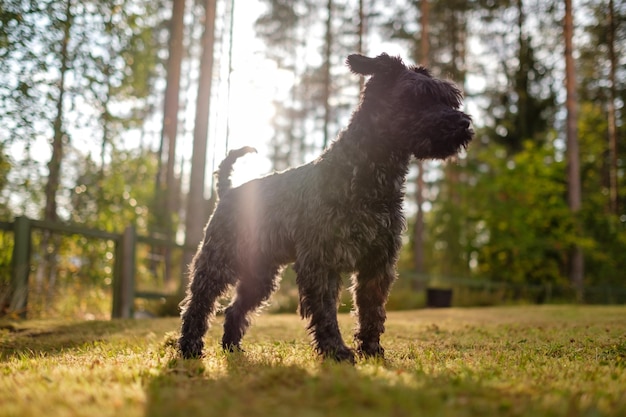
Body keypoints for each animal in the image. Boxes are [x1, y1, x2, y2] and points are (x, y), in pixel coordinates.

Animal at [178, 53, 470, 362]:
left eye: (450, 99)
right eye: (417, 96)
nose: (463, 122)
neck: (364, 176)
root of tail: (228, 191)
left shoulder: (377, 263)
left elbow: (372, 311)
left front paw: (372, 350)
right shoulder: (321, 261)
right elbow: (326, 311)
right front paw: (336, 351)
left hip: (260, 274)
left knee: (234, 309)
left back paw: (232, 347)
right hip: (217, 263)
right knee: (198, 304)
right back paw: (189, 347)